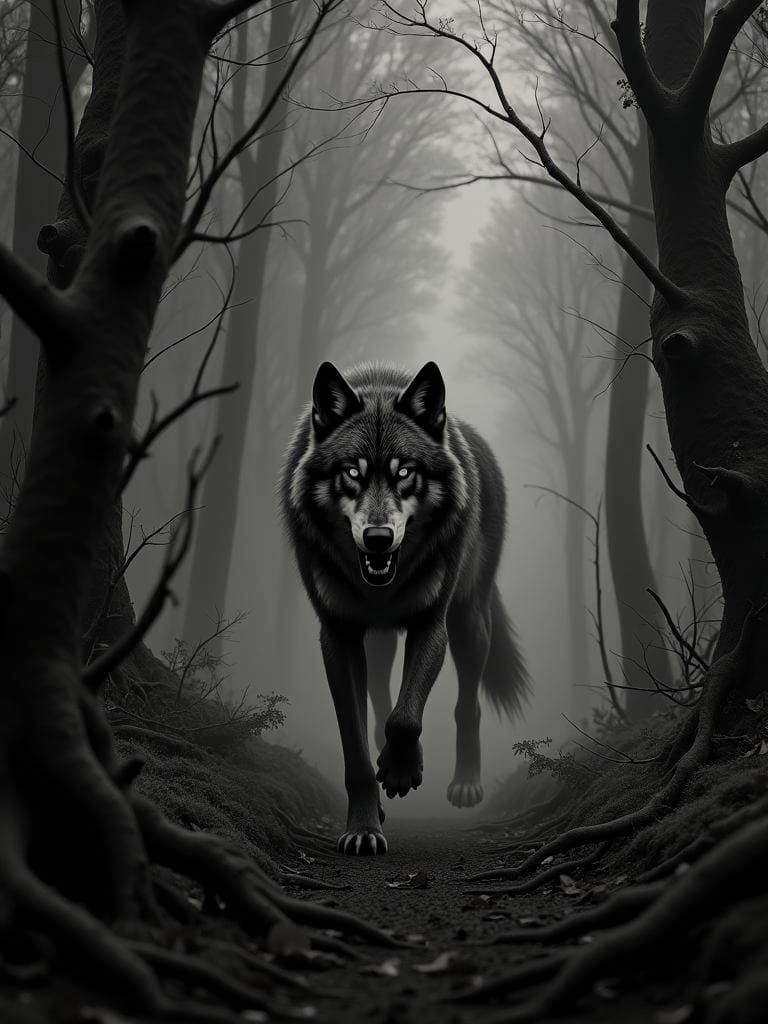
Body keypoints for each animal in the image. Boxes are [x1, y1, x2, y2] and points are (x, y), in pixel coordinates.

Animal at [281, 361, 529, 855]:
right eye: (351, 472)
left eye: (404, 472)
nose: (377, 538)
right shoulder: (337, 634)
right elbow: (357, 745)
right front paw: (364, 826)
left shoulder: (430, 623)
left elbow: (407, 715)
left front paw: (400, 770)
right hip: (378, 643)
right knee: (378, 695)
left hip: (470, 623)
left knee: (466, 703)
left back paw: (465, 783)